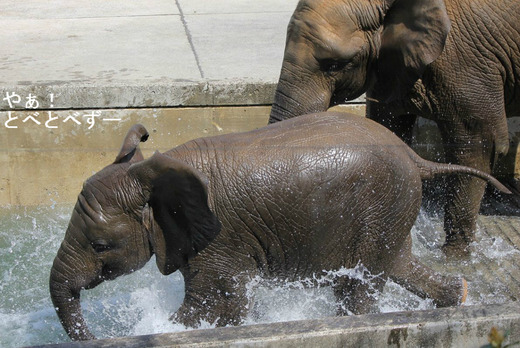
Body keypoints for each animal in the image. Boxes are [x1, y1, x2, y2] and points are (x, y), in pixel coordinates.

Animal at [47, 114, 512, 340]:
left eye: (100, 245)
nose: (93, 338)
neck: (149, 171)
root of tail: (415, 156)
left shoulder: (221, 240)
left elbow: (214, 303)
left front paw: (162, 330)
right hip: (391, 211)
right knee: (398, 267)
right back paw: (458, 297)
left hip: (382, 206)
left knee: (362, 284)